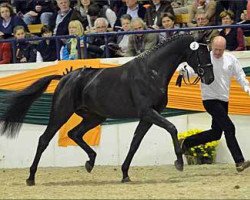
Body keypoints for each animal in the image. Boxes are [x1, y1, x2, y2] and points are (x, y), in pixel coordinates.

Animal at [0, 33, 215, 186]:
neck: (150, 72)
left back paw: (90, 162)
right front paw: (179, 163)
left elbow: (135, 143)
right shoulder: (148, 112)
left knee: (74, 133)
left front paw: (125, 174)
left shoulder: (148, 116)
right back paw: (31, 178)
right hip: (61, 113)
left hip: (94, 117)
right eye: (202, 52)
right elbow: (172, 128)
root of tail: (65, 77)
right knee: (44, 140)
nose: (210, 77)